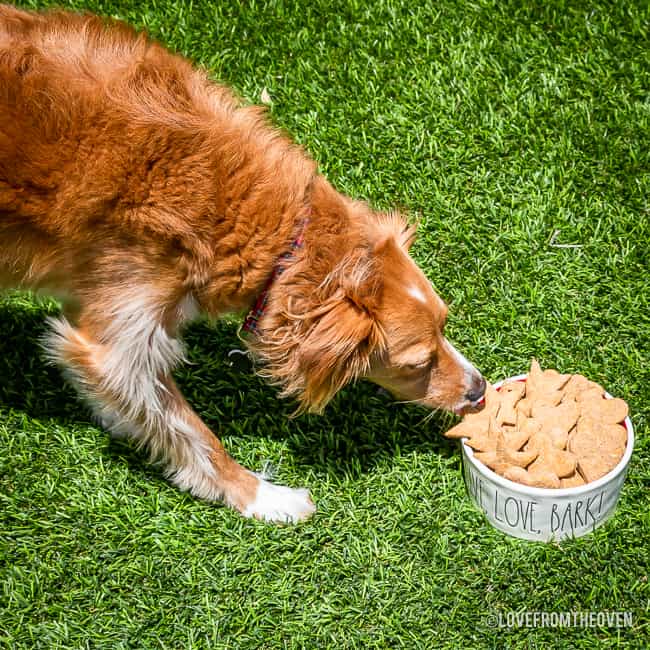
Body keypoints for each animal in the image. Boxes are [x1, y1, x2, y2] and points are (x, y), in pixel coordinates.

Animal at [0, 5, 486, 520]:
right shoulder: (116, 342)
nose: (480, 389)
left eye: (445, 325)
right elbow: (196, 436)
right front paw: (264, 497)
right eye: (418, 363)